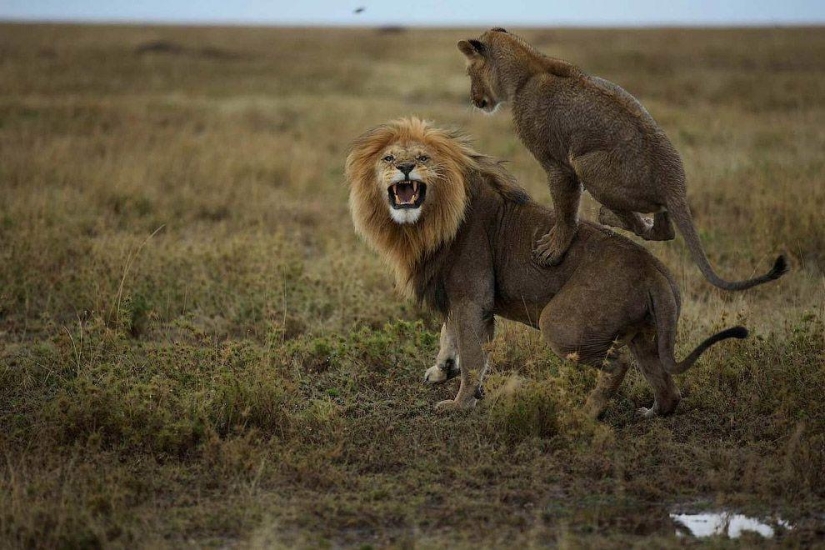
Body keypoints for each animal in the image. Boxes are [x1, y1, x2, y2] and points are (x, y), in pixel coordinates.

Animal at [346, 117, 749, 417]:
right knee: (667, 387)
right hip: (645, 334)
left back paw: (586, 413)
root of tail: (655, 271)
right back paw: (651, 412)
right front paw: (443, 370)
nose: (405, 167)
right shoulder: (460, 298)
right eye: (388, 158)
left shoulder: (471, 296)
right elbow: (453, 336)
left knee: (616, 365)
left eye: (423, 158)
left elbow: (473, 354)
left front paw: (459, 404)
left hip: (561, 325)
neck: (424, 224)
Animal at [457, 28, 788, 291]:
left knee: (644, 226)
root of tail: (673, 186)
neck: (526, 70)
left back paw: (606, 215)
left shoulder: (559, 165)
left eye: (470, 74)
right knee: (664, 228)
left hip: (587, 165)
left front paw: (553, 250)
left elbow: (565, 212)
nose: (474, 100)